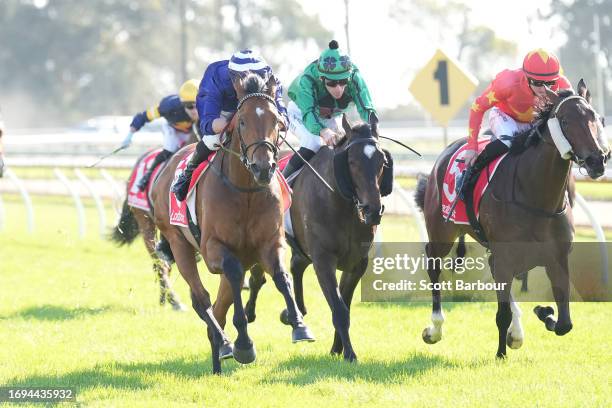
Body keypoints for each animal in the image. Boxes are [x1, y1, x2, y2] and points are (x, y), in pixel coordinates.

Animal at [151, 72, 314, 372]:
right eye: (242, 121)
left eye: (276, 121)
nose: (263, 167)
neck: (246, 191)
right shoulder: (214, 250)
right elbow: (234, 277)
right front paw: (244, 344)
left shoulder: (271, 243)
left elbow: (280, 276)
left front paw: (299, 325)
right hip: (179, 244)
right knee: (203, 299)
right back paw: (226, 342)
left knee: (219, 305)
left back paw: (219, 352)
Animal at [249, 116, 392, 362]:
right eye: (351, 161)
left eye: (382, 161)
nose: (373, 210)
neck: (341, 203)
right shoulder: (323, 260)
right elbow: (339, 309)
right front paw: (350, 354)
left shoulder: (356, 263)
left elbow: (344, 305)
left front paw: (337, 348)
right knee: (258, 276)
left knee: (296, 265)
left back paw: (294, 313)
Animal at [414, 80, 608, 360]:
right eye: (564, 120)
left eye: (594, 117)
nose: (597, 160)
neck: (537, 195)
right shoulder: (507, 255)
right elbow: (501, 313)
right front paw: (500, 354)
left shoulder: (557, 257)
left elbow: (564, 323)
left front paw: (543, 313)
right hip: (441, 233)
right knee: (434, 263)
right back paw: (435, 328)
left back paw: (516, 331)